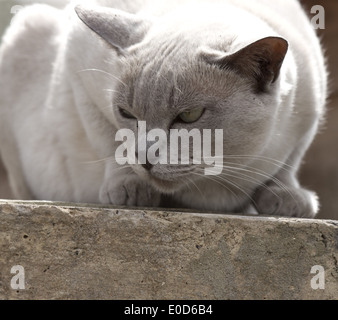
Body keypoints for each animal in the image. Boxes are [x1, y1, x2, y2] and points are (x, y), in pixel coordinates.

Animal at [0, 0, 328, 218]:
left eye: (189, 116)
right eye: (127, 113)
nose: (144, 158)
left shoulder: (310, 113)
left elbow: (289, 162)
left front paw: (286, 200)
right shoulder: (78, 67)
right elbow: (110, 142)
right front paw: (129, 190)